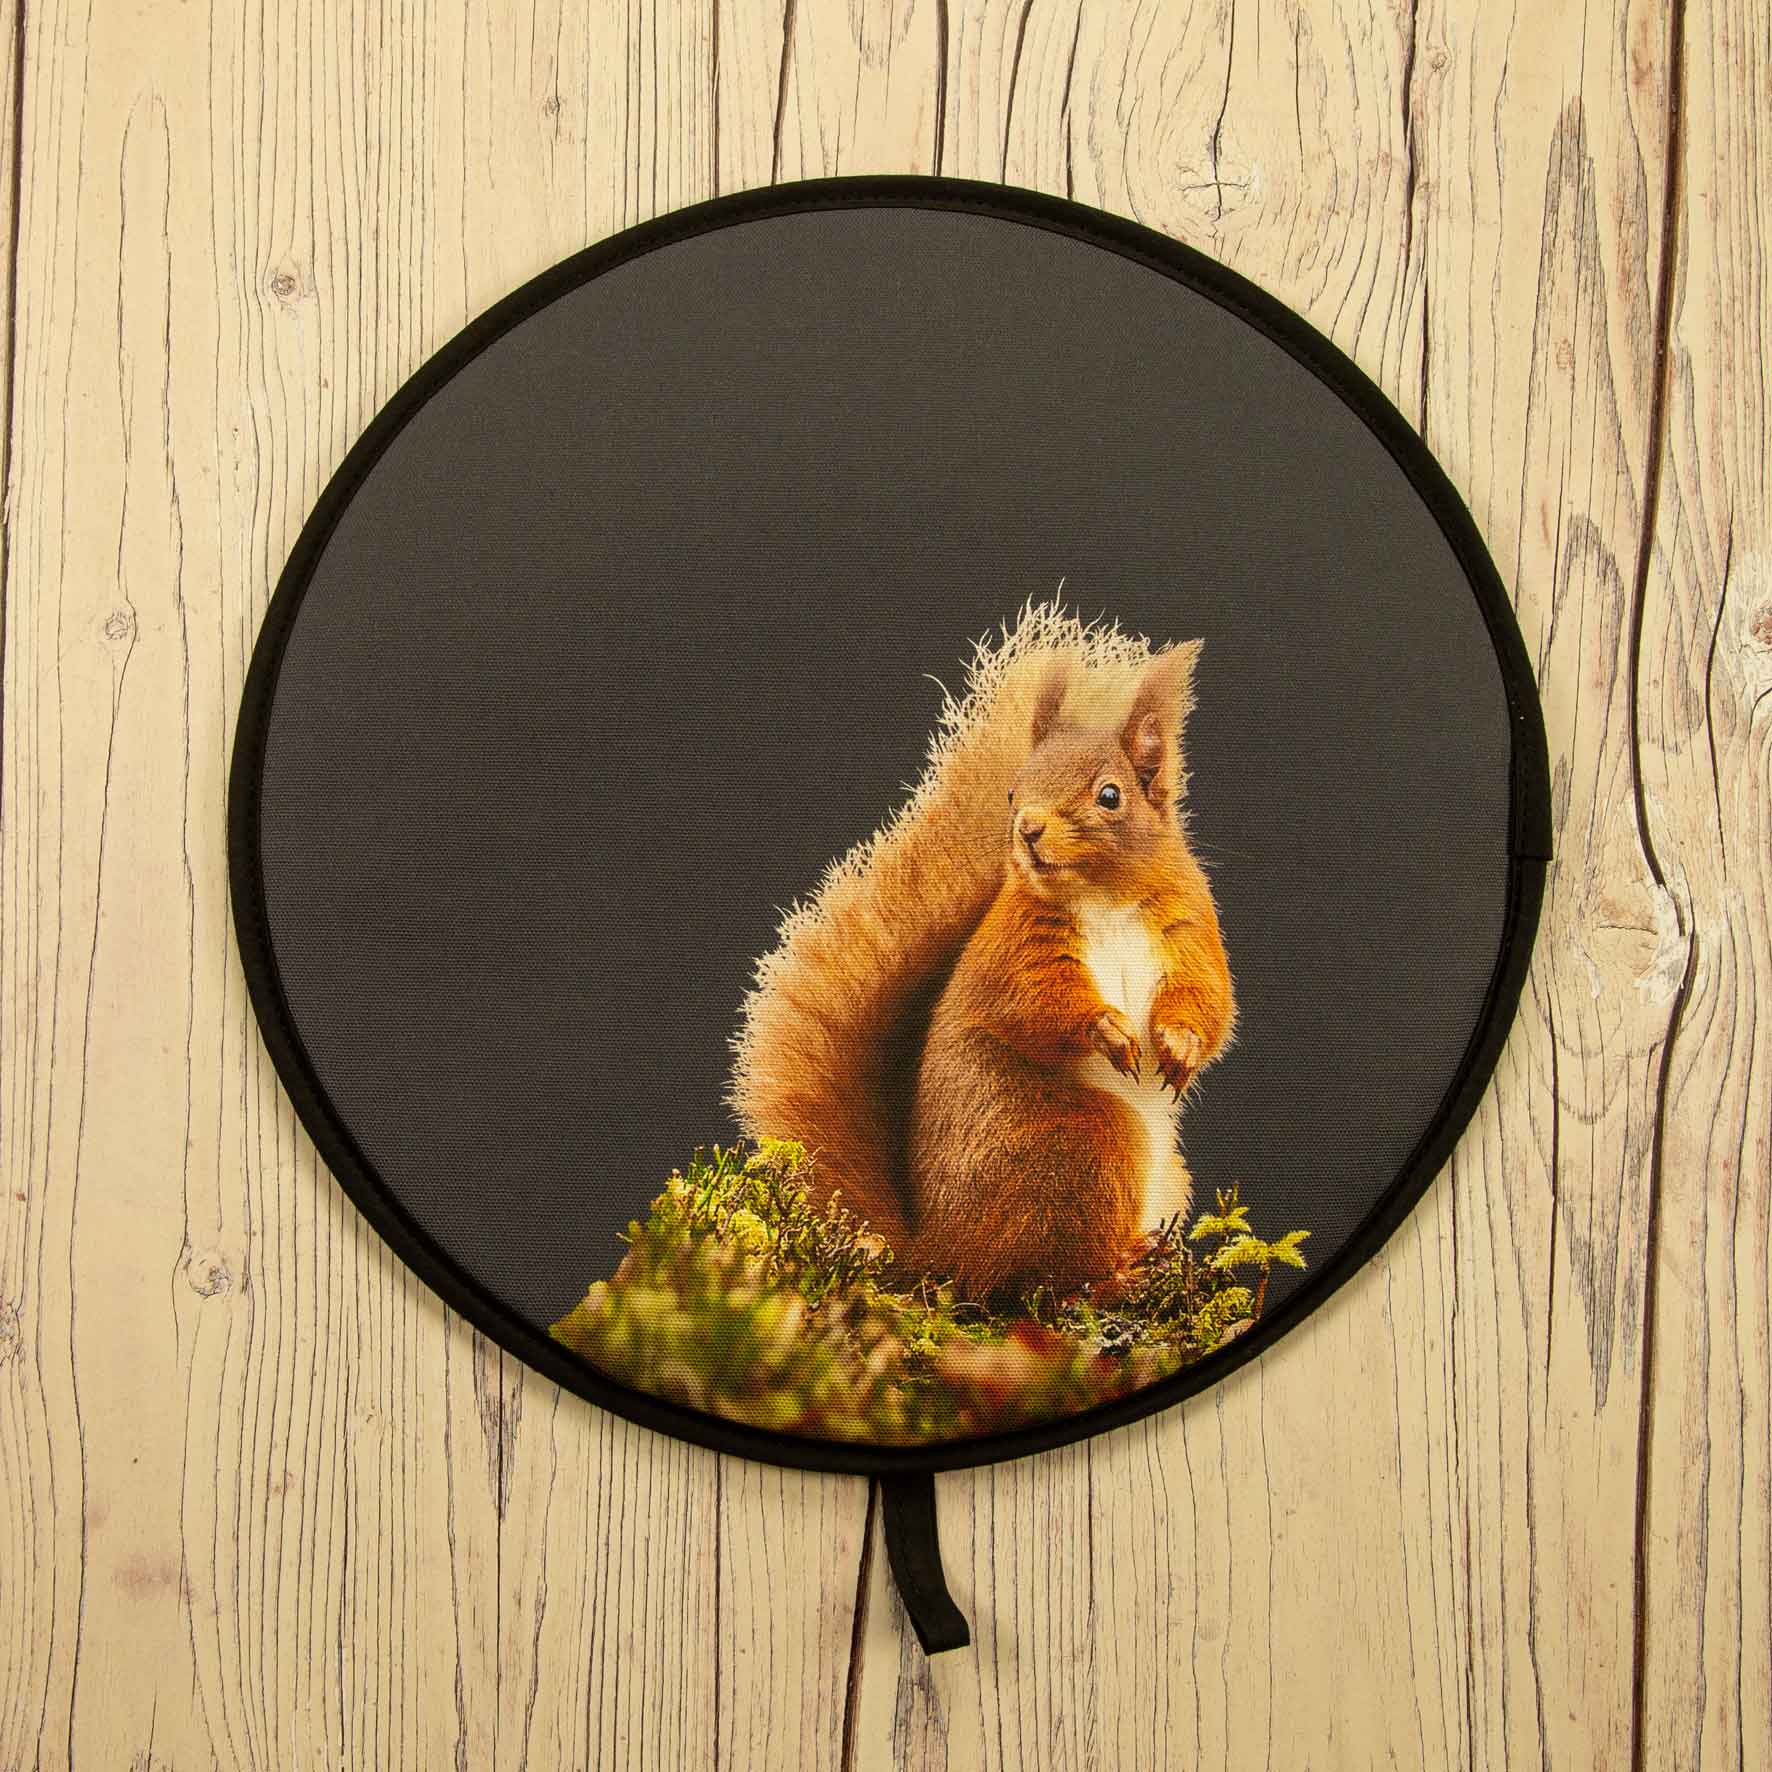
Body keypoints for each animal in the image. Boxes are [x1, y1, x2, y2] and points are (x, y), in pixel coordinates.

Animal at [730, 603, 1235, 1302]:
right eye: (1013, 791)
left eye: (1110, 795)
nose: (1028, 829)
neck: (1102, 894)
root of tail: (945, 1251)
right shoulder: (1018, 946)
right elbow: (1037, 1002)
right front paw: (1107, 1029)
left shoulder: (1188, 927)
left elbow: (1207, 996)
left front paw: (1180, 1045)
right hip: (1085, 1150)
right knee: (1052, 1276)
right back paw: (1120, 1271)